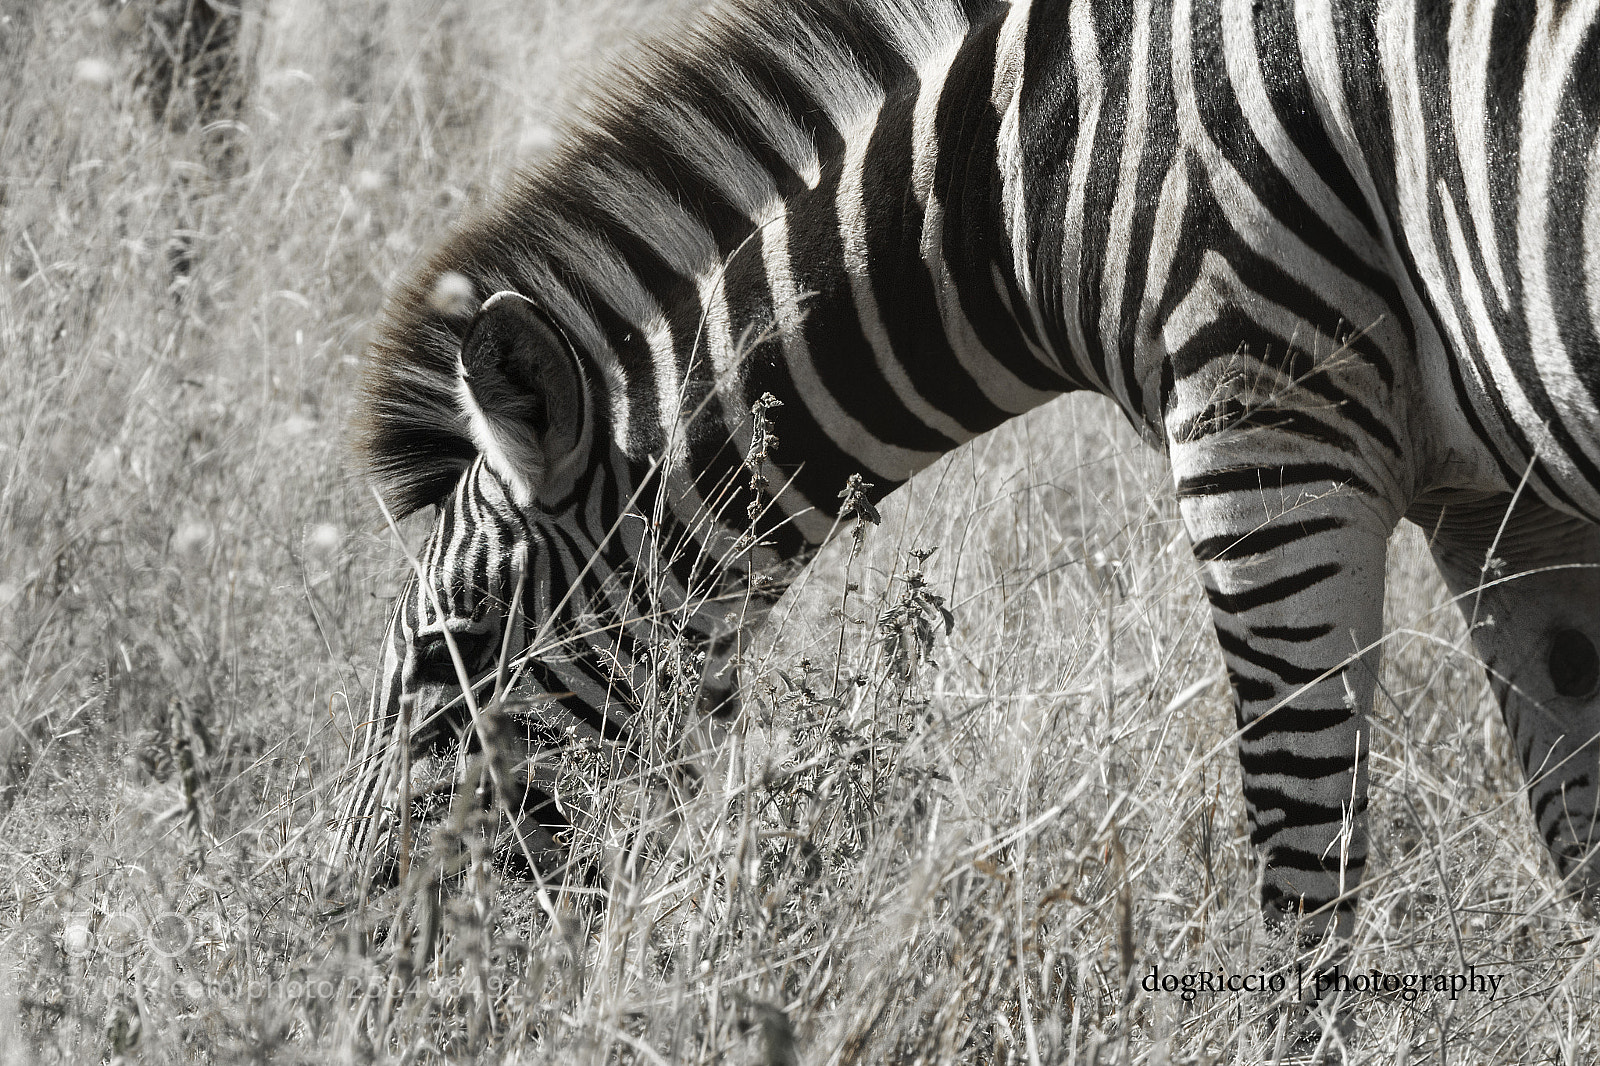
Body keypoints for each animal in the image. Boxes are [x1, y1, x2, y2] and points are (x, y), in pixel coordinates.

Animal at [334, 0, 1600, 938]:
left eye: (449, 655)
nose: (342, 926)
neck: (1038, 172)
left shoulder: (1267, 432)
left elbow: (1301, 852)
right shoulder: (1500, 505)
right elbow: (1578, 832)